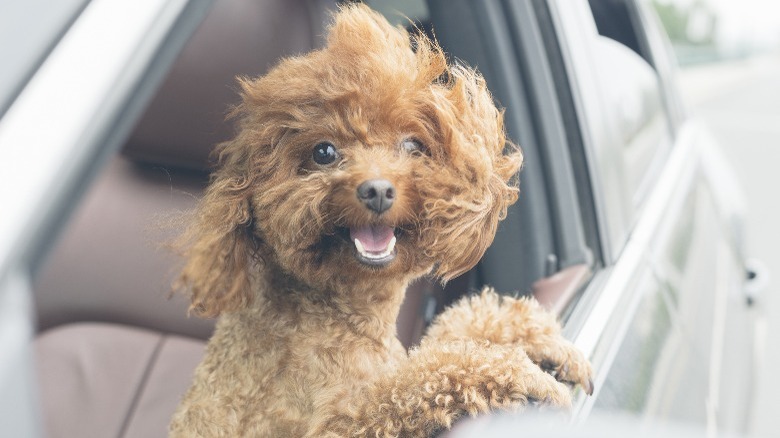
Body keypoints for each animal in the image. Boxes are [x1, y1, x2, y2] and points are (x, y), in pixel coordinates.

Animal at [171, 4, 596, 438]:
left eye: (412, 145)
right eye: (324, 152)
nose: (377, 190)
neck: (342, 317)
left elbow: (449, 333)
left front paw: (541, 341)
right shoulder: (332, 423)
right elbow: (415, 380)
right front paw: (523, 374)